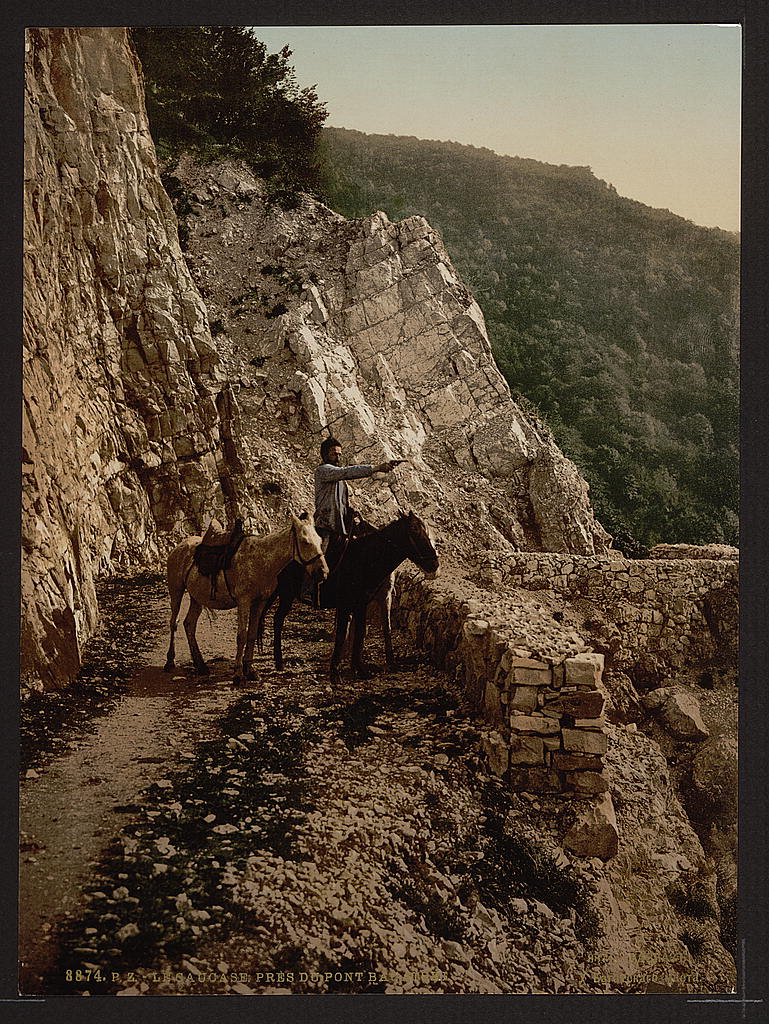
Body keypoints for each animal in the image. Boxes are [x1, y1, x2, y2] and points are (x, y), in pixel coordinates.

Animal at [163, 512, 325, 688]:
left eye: (320, 540)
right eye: (305, 541)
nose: (323, 572)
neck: (261, 560)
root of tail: (179, 547)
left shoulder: (259, 603)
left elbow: (252, 634)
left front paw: (250, 670)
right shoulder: (244, 602)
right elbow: (241, 635)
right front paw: (238, 674)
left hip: (197, 598)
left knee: (189, 624)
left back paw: (201, 665)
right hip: (176, 592)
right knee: (174, 622)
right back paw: (170, 661)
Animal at [259, 509, 438, 679]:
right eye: (415, 530)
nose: (435, 564)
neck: (364, 559)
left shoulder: (362, 604)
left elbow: (360, 632)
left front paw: (359, 669)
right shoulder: (345, 604)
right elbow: (341, 634)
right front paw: (335, 672)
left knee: (277, 619)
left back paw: (279, 661)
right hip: (286, 594)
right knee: (278, 620)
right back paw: (279, 661)